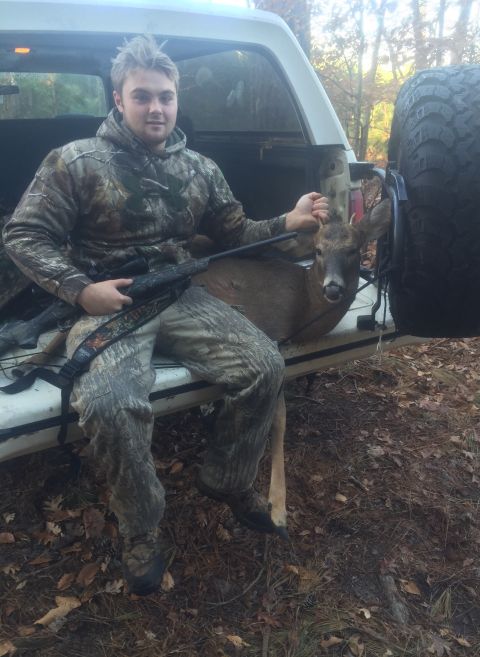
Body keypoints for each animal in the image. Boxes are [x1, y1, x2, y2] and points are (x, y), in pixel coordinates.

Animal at [192, 199, 391, 537]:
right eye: (318, 250)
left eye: (353, 249)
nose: (333, 289)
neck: (302, 309)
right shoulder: (271, 337)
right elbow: (279, 419)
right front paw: (278, 509)